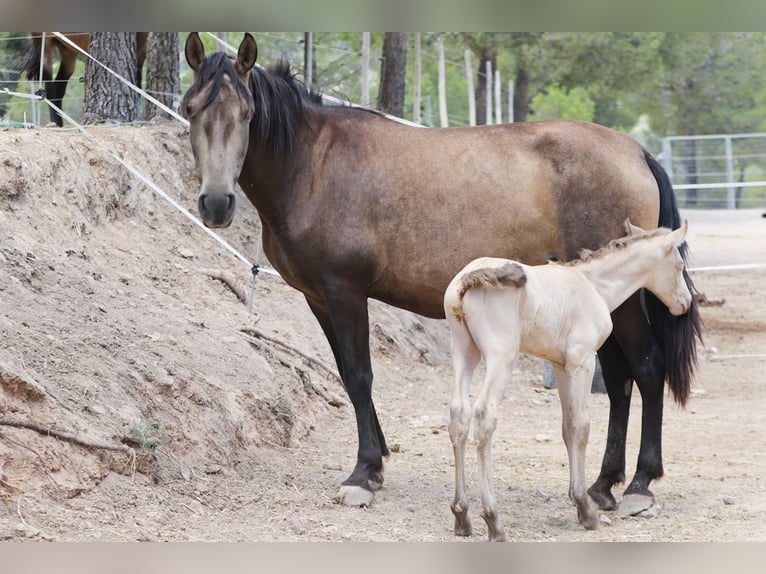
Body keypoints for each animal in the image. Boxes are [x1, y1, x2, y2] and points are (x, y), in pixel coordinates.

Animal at [440, 220, 692, 544]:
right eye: (679, 265)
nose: (685, 303)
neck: (592, 285)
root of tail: (468, 278)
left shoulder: (561, 366)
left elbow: (566, 426)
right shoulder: (582, 361)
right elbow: (580, 426)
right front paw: (586, 508)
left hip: (464, 352)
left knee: (459, 415)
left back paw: (461, 515)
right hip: (500, 356)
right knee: (484, 416)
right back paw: (493, 519)